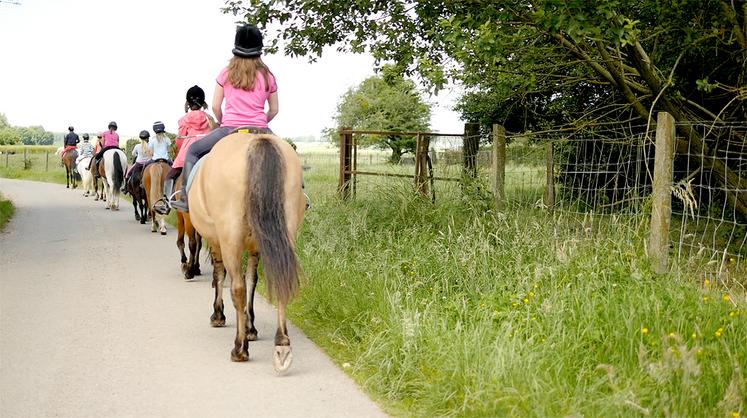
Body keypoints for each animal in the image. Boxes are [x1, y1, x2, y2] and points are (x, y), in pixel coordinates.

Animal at [189, 133, 305, 373]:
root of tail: (259, 141)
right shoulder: (255, 248)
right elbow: (252, 279)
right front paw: (251, 327)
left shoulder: (217, 241)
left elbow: (220, 276)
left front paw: (219, 315)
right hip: (285, 234)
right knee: (282, 280)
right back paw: (282, 344)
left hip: (230, 238)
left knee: (237, 288)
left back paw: (239, 348)